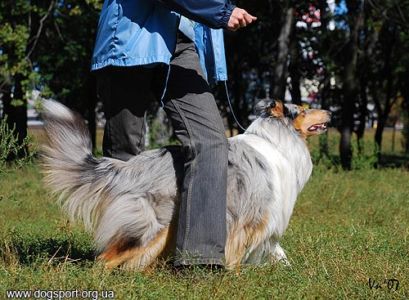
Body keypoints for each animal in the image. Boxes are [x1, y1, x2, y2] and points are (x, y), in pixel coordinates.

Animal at [40, 98, 328, 270]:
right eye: (303, 110)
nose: (329, 111)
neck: (276, 141)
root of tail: (130, 167)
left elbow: (278, 251)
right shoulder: (255, 214)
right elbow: (240, 248)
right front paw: (233, 276)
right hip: (150, 226)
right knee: (104, 260)